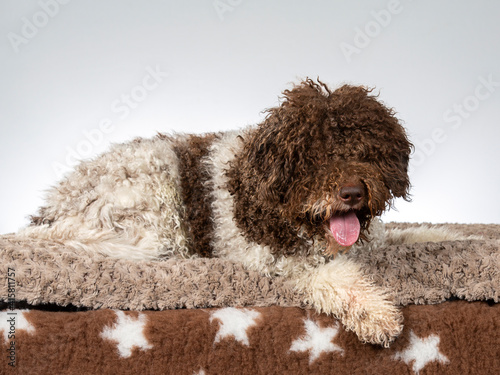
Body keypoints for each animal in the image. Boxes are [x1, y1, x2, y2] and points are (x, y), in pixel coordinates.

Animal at [23, 78, 412, 346]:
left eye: (365, 152)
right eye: (311, 157)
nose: (352, 193)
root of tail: (52, 210)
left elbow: (410, 234)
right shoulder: (273, 261)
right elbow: (331, 276)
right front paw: (375, 313)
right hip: (155, 185)